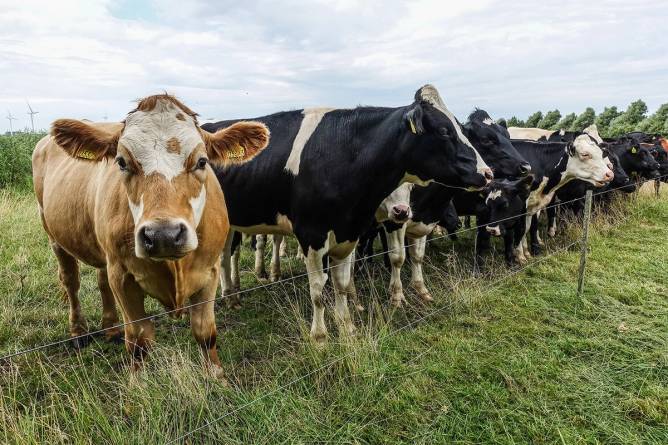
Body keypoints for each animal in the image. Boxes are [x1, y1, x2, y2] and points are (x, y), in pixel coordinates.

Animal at [32, 94, 268, 374]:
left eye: (202, 161)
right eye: (122, 162)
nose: (163, 235)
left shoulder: (209, 271)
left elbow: (206, 332)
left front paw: (216, 376)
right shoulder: (122, 276)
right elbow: (139, 340)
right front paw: (136, 381)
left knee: (101, 280)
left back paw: (111, 328)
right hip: (53, 234)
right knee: (70, 280)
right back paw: (79, 331)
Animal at [206, 84, 494, 340]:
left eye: (461, 129)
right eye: (445, 131)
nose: (488, 173)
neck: (345, 154)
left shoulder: (349, 232)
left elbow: (342, 284)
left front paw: (347, 328)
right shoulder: (312, 235)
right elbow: (318, 290)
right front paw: (319, 337)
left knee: (224, 256)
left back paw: (231, 296)